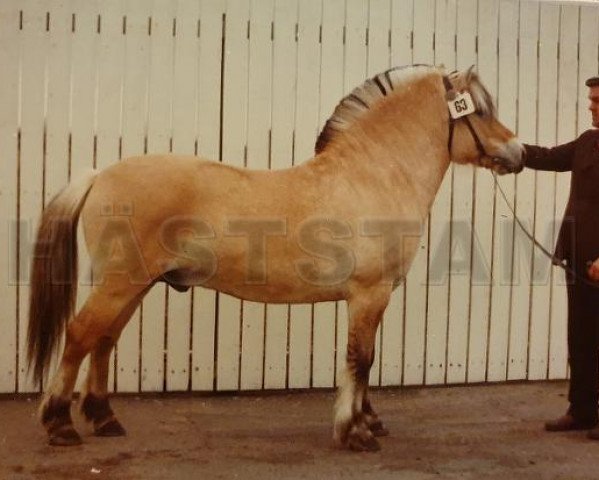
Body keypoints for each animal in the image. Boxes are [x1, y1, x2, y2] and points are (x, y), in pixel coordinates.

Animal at [27, 63, 524, 450]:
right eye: (481, 111)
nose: (518, 153)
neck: (370, 176)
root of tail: (99, 174)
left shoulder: (374, 297)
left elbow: (365, 359)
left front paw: (365, 422)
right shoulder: (369, 293)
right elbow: (359, 359)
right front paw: (355, 432)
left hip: (135, 285)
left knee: (103, 340)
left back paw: (105, 420)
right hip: (121, 282)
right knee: (80, 334)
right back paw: (59, 425)